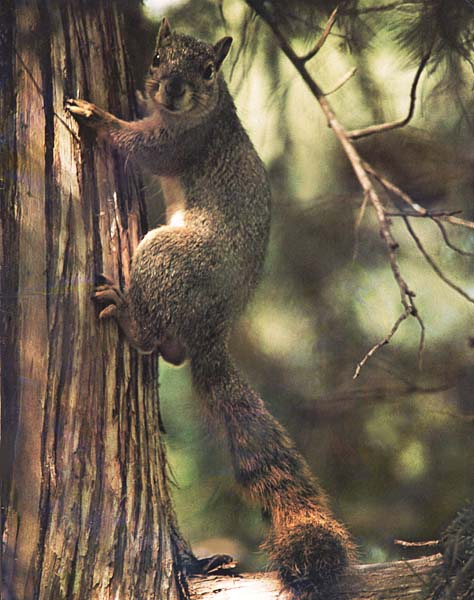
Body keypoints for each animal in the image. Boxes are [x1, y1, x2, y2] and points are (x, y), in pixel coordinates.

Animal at [68, 18, 354, 600]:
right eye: (159, 57)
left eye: (207, 70)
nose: (172, 89)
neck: (203, 111)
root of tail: (212, 329)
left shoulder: (184, 143)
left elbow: (143, 148)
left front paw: (98, 118)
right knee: (172, 350)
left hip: (167, 256)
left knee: (149, 333)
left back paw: (128, 316)